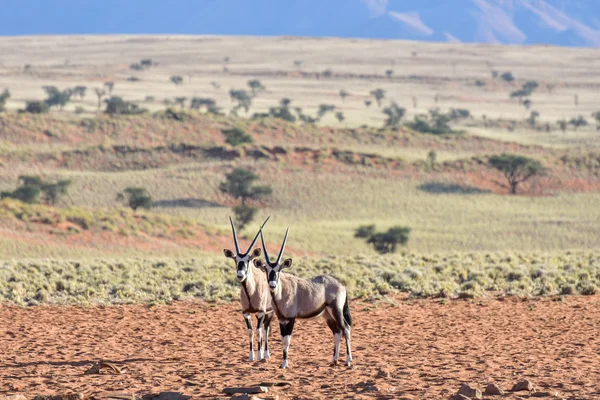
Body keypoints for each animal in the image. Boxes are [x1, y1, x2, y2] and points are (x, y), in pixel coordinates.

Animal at [223, 217, 274, 360]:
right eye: (235, 260)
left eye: (248, 260)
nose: (240, 275)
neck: (251, 292)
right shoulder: (246, 312)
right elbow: (250, 331)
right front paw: (251, 356)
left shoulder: (262, 312)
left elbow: (259, 331)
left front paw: (260, 355)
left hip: (269, 312)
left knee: (265, 329)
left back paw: (266, 353)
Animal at [253, 228, 352, 368]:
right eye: (265, 269)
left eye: (279, 269)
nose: (272, 285)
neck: (282, 291)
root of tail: (342, 284)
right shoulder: (281, 319)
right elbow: (283, 339)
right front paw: (282, 363)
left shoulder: (291, 318)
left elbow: (287, 340)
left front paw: (285, 364)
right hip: (327, 315)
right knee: (337, 332)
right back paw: (334, 360)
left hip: (336, 311)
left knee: (346, 329)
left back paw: (348, 361)